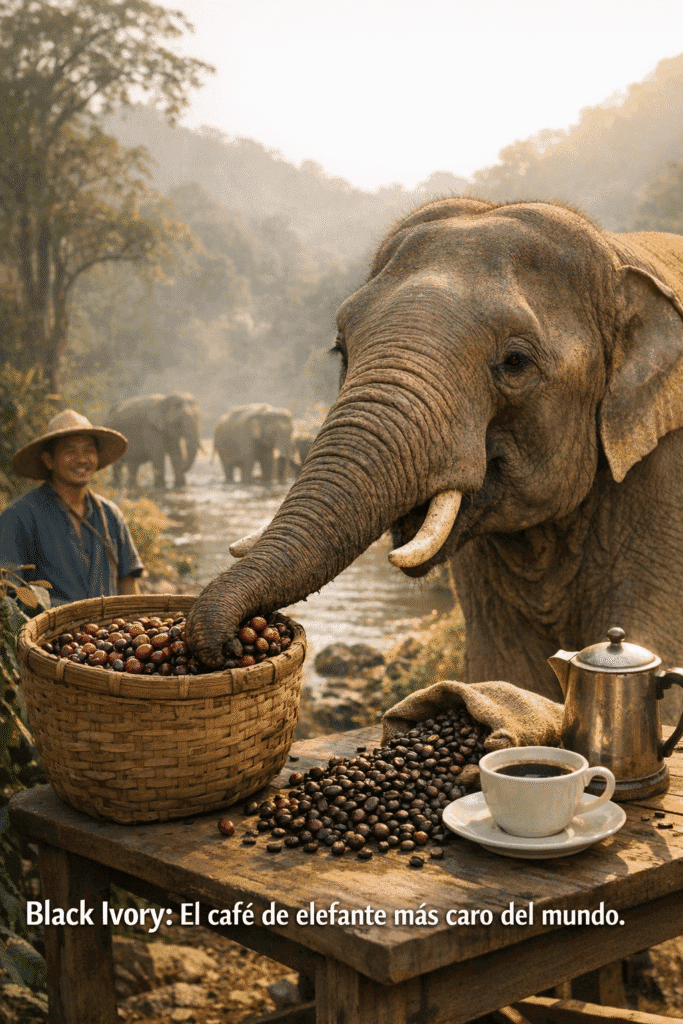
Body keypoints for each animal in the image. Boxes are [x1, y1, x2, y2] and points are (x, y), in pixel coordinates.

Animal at [187, 196, 683, 722]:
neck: (615, 258)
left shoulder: (665, 475)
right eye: (341, 350)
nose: (230, 648)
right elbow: (507, 670)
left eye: (516, 362)